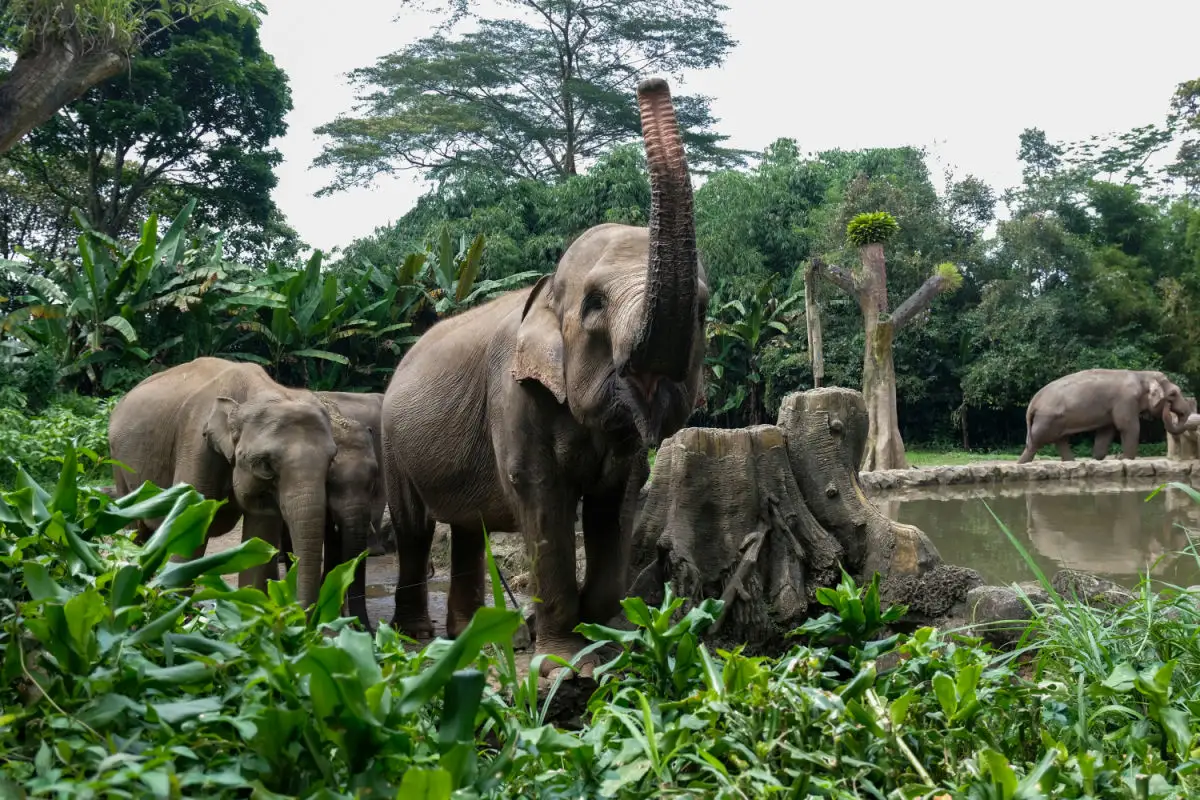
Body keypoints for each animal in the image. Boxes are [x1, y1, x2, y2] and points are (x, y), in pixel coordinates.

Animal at [107, 357, 339, 609]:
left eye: (331, 460)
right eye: (265, 466)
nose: (301, 610)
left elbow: (260, 536)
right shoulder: (196, 446)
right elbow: (189, 525)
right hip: (118, 463)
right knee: (133, 528)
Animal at [380, 77, 707, 673]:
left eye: (701, 309)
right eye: (595, 304)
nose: (651, 83)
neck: (547, 287)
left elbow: (616, 501)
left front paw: (613, 636)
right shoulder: (513, 394)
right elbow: (541, 496)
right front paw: (563, 660)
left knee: (468, 530)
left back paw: (473, 638)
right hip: (392, 443)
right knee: (416, 530)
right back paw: (418, 639)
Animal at [1017, 369, 1195, 464]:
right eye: (1173, 394)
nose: (1168, 406)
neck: (1141, 374)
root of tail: (1033, 401)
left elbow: (1106, 432)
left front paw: (1100, 458)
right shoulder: (1126, 401)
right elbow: (1128, 426)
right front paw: (1124, 458)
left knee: (1060, 441)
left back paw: (1071, 462)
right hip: (1046, 419)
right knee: (1035, 444)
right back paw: (1021, 464)